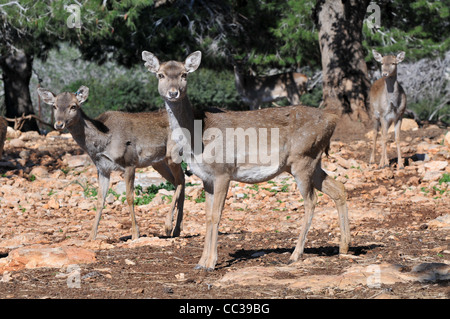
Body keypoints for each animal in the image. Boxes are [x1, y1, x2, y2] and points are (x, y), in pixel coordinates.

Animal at [37, 86, 185, 241]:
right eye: (54, 106)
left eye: (73, 106)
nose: (59, 124)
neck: (102, 143)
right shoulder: (102, 169)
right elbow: (99, 200)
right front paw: (91, 237)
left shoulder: (130, 162)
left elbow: (130, 197)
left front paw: (135, 233)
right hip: (158, 162)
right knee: (180, 180)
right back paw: (177, 229)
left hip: (173, 154)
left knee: (180, 180)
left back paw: (168, 226)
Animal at [142, 51, 350, 272]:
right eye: (160, 75)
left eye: (184, 74)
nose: (173, 93)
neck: (198, 138)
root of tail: (332, 120)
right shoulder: (206, 178)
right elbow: (207, 216)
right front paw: (200, 262)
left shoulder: (223, 171)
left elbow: (216, 215)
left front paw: (211, 263)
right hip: (311, 162)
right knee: (338, 188)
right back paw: (344, 246)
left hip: (303, 158)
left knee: (311, 201)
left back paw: (295, 255)